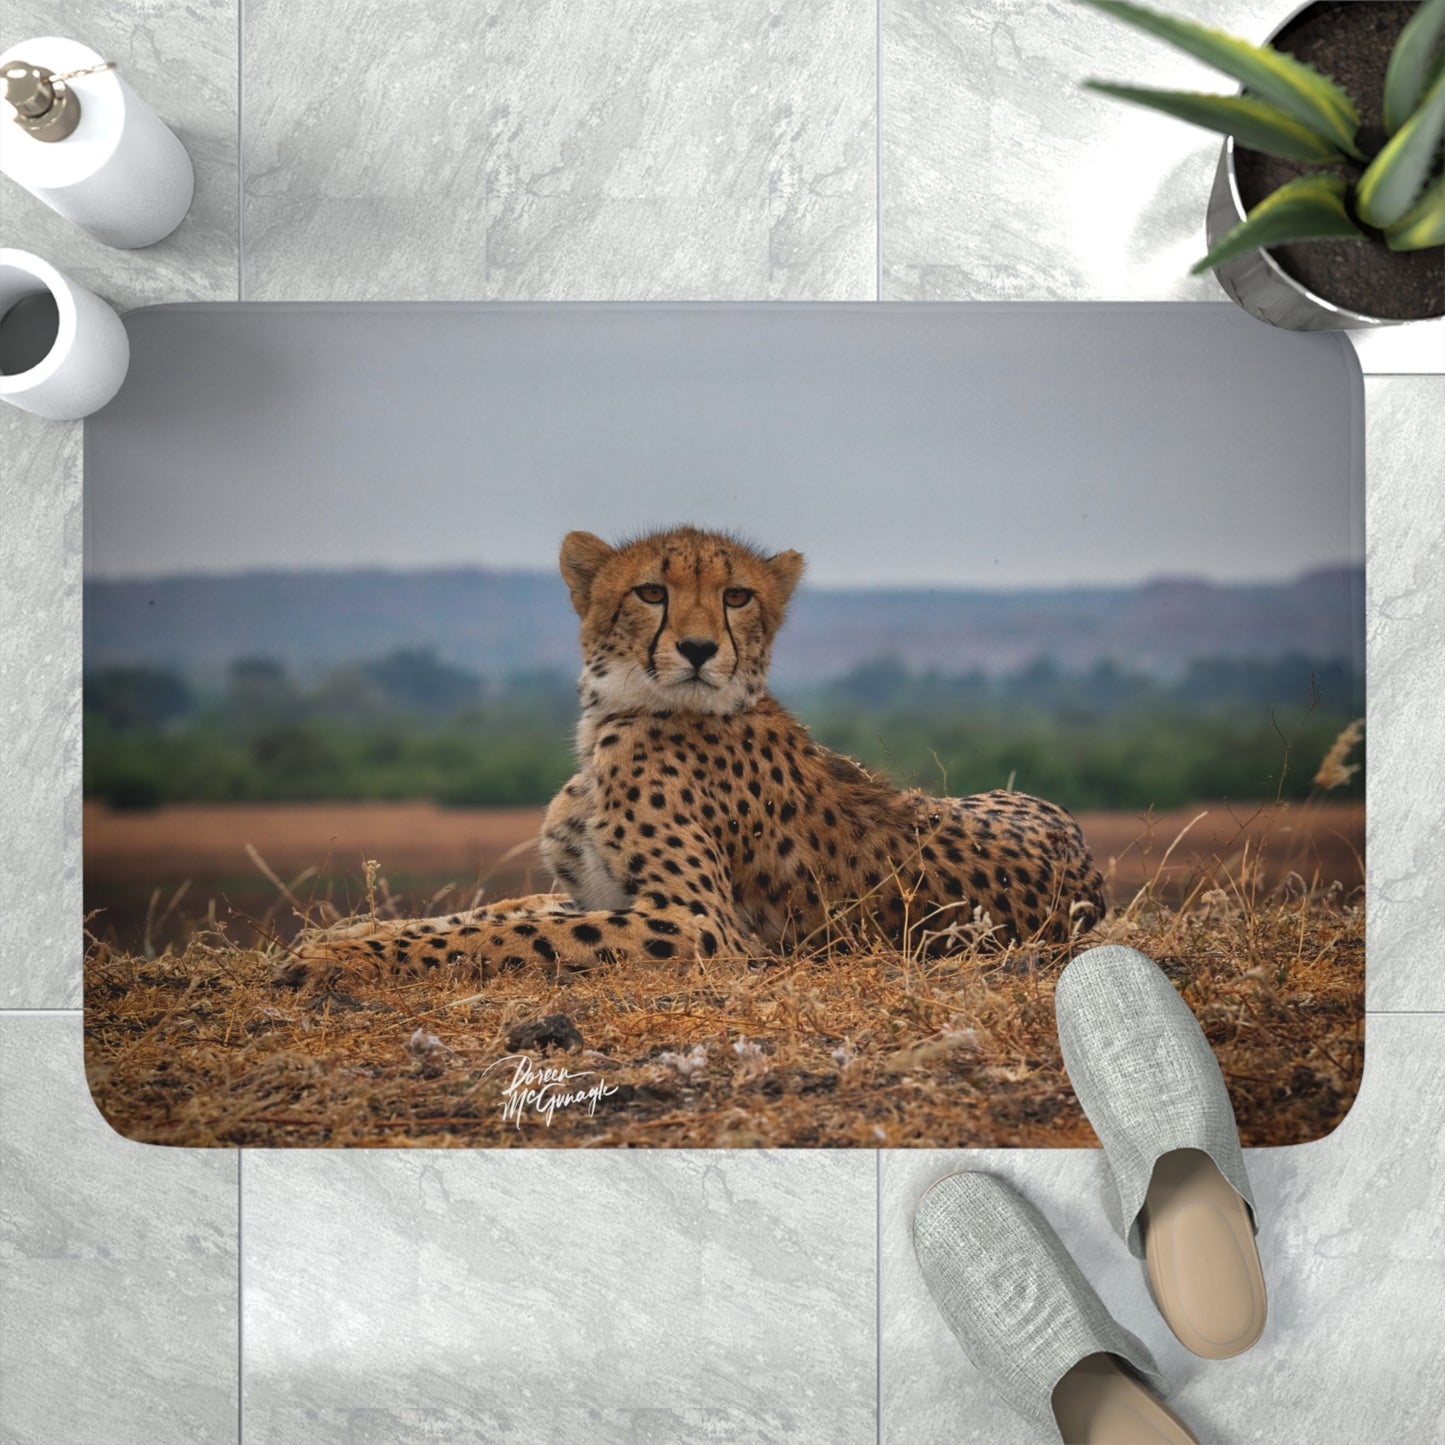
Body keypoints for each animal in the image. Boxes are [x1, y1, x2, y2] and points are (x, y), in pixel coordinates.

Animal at [277, 525, 1105, 989]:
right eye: (651, 591)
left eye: (737, 595)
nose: (700, 648)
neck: (615, 716)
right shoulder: (593, 892)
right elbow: (485, 914)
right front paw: (336, 938)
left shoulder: (697, 923)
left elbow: (504, 934)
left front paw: (336, 960)